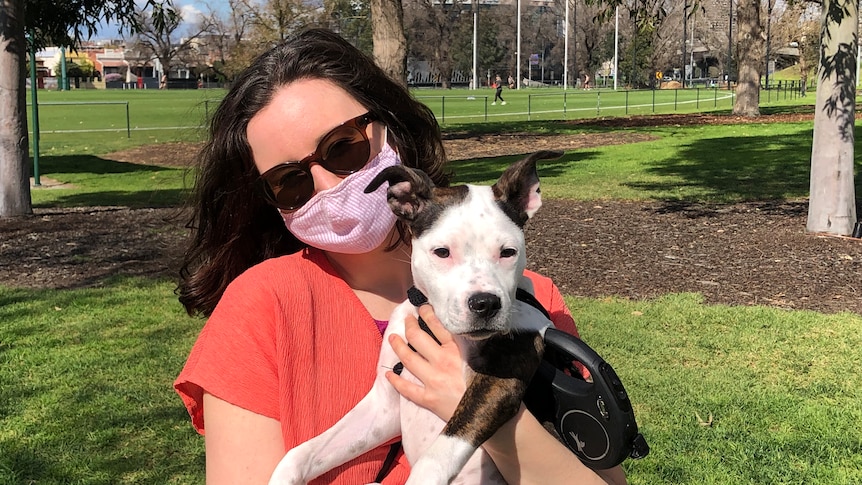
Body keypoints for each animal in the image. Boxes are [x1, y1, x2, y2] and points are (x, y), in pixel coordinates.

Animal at [272, 149, 568, 482]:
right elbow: (301, 453)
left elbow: (437, 456)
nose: (486, 304)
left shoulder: (499, 382)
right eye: (442, 252)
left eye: (508, 252)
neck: (434, 324)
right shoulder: (384, 407)